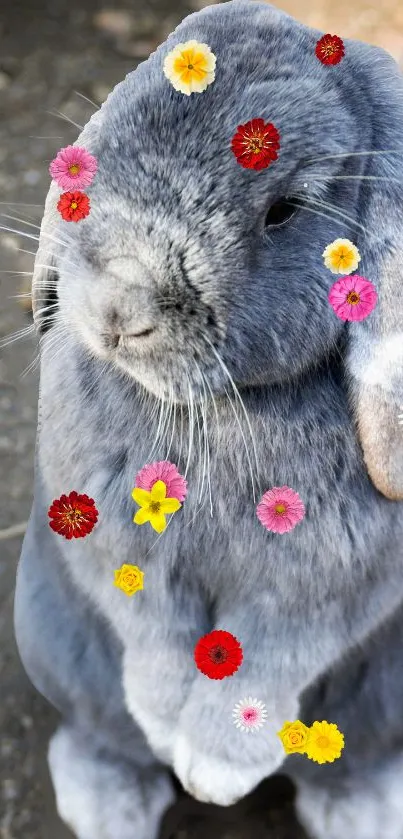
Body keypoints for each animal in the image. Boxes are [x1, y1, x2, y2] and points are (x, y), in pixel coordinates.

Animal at [12, 1, 403, 839]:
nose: (118, 309)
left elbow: (267, 655)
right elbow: (153, 636)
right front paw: (169, 730)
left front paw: (217, 771)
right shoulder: (121, 553)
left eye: (283, 211)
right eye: (97, 156)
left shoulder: (324, 590)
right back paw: (110, 805)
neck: (221, 409)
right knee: (96, 733)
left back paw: (360, 810)